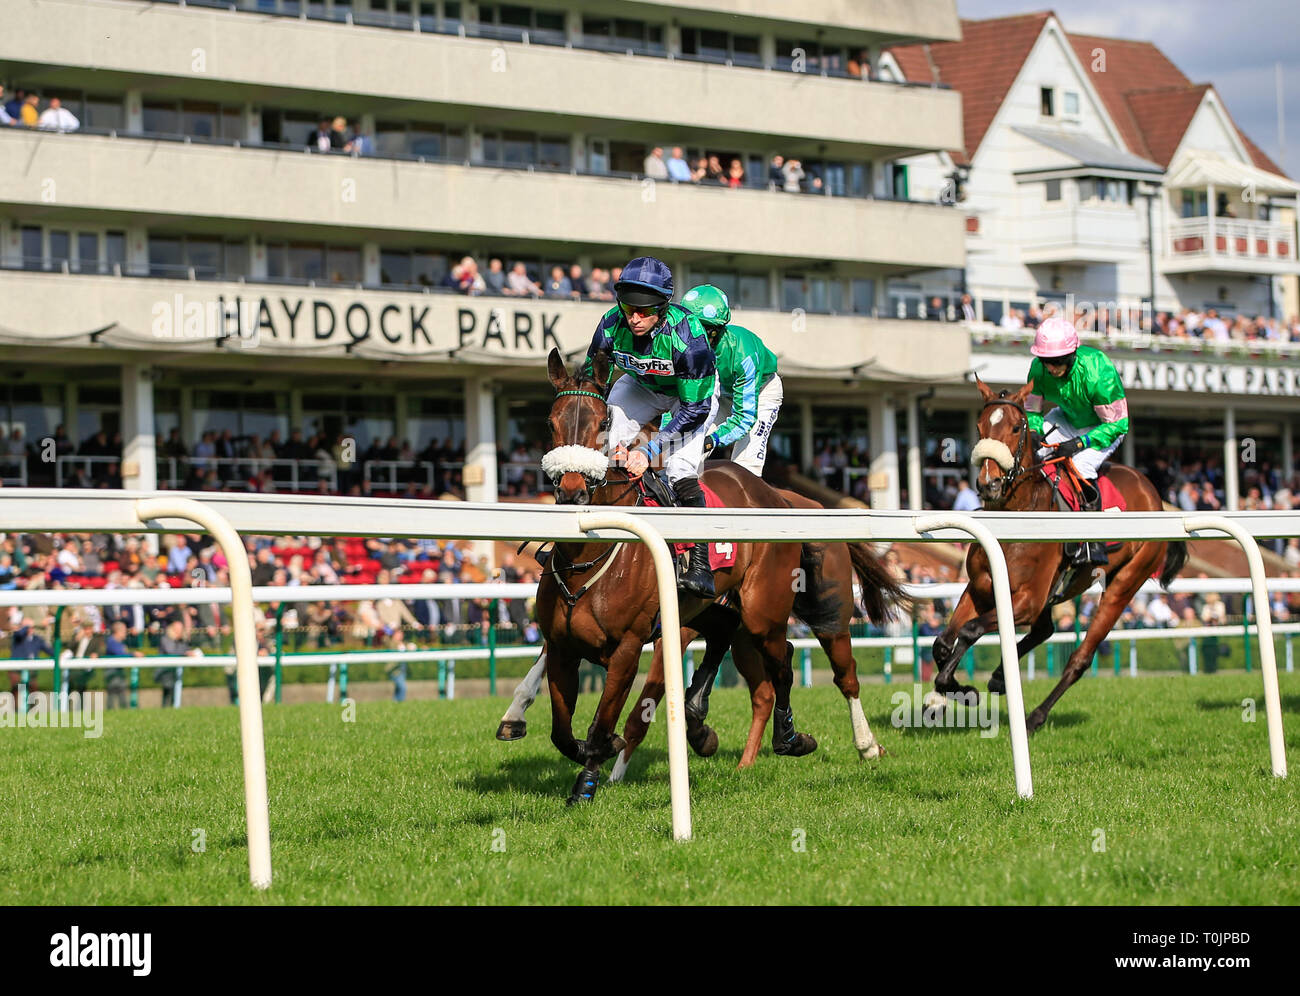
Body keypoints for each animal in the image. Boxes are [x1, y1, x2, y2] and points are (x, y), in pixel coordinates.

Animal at [538, 348, 821, 800]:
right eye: (552, 422)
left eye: (602, 424)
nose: (572, 491)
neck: (588, 559)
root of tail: (773, 494)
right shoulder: (560, 646)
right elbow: (561, 733)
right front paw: (597, 751)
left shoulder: (627, 648)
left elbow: (602, 722)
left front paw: (586, 783)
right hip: (704, 603)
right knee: (726, 630)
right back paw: (699, 720)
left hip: (765, 608)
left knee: (783, 662)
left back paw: (790, 738)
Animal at [935, 377, 1190, 733]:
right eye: (980, 426)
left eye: (1016, 427)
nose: (990, 483)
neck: (1020, 517)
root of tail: (1155, 494)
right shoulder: (981, 587)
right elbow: (944, 642)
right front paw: (954, 688)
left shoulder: (1028, 600)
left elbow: (971, 630)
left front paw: (966, 690)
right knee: (1045, 630)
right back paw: (1000, 677)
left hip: (1125, 583)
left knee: (1080, 657)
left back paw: (1035, 716)